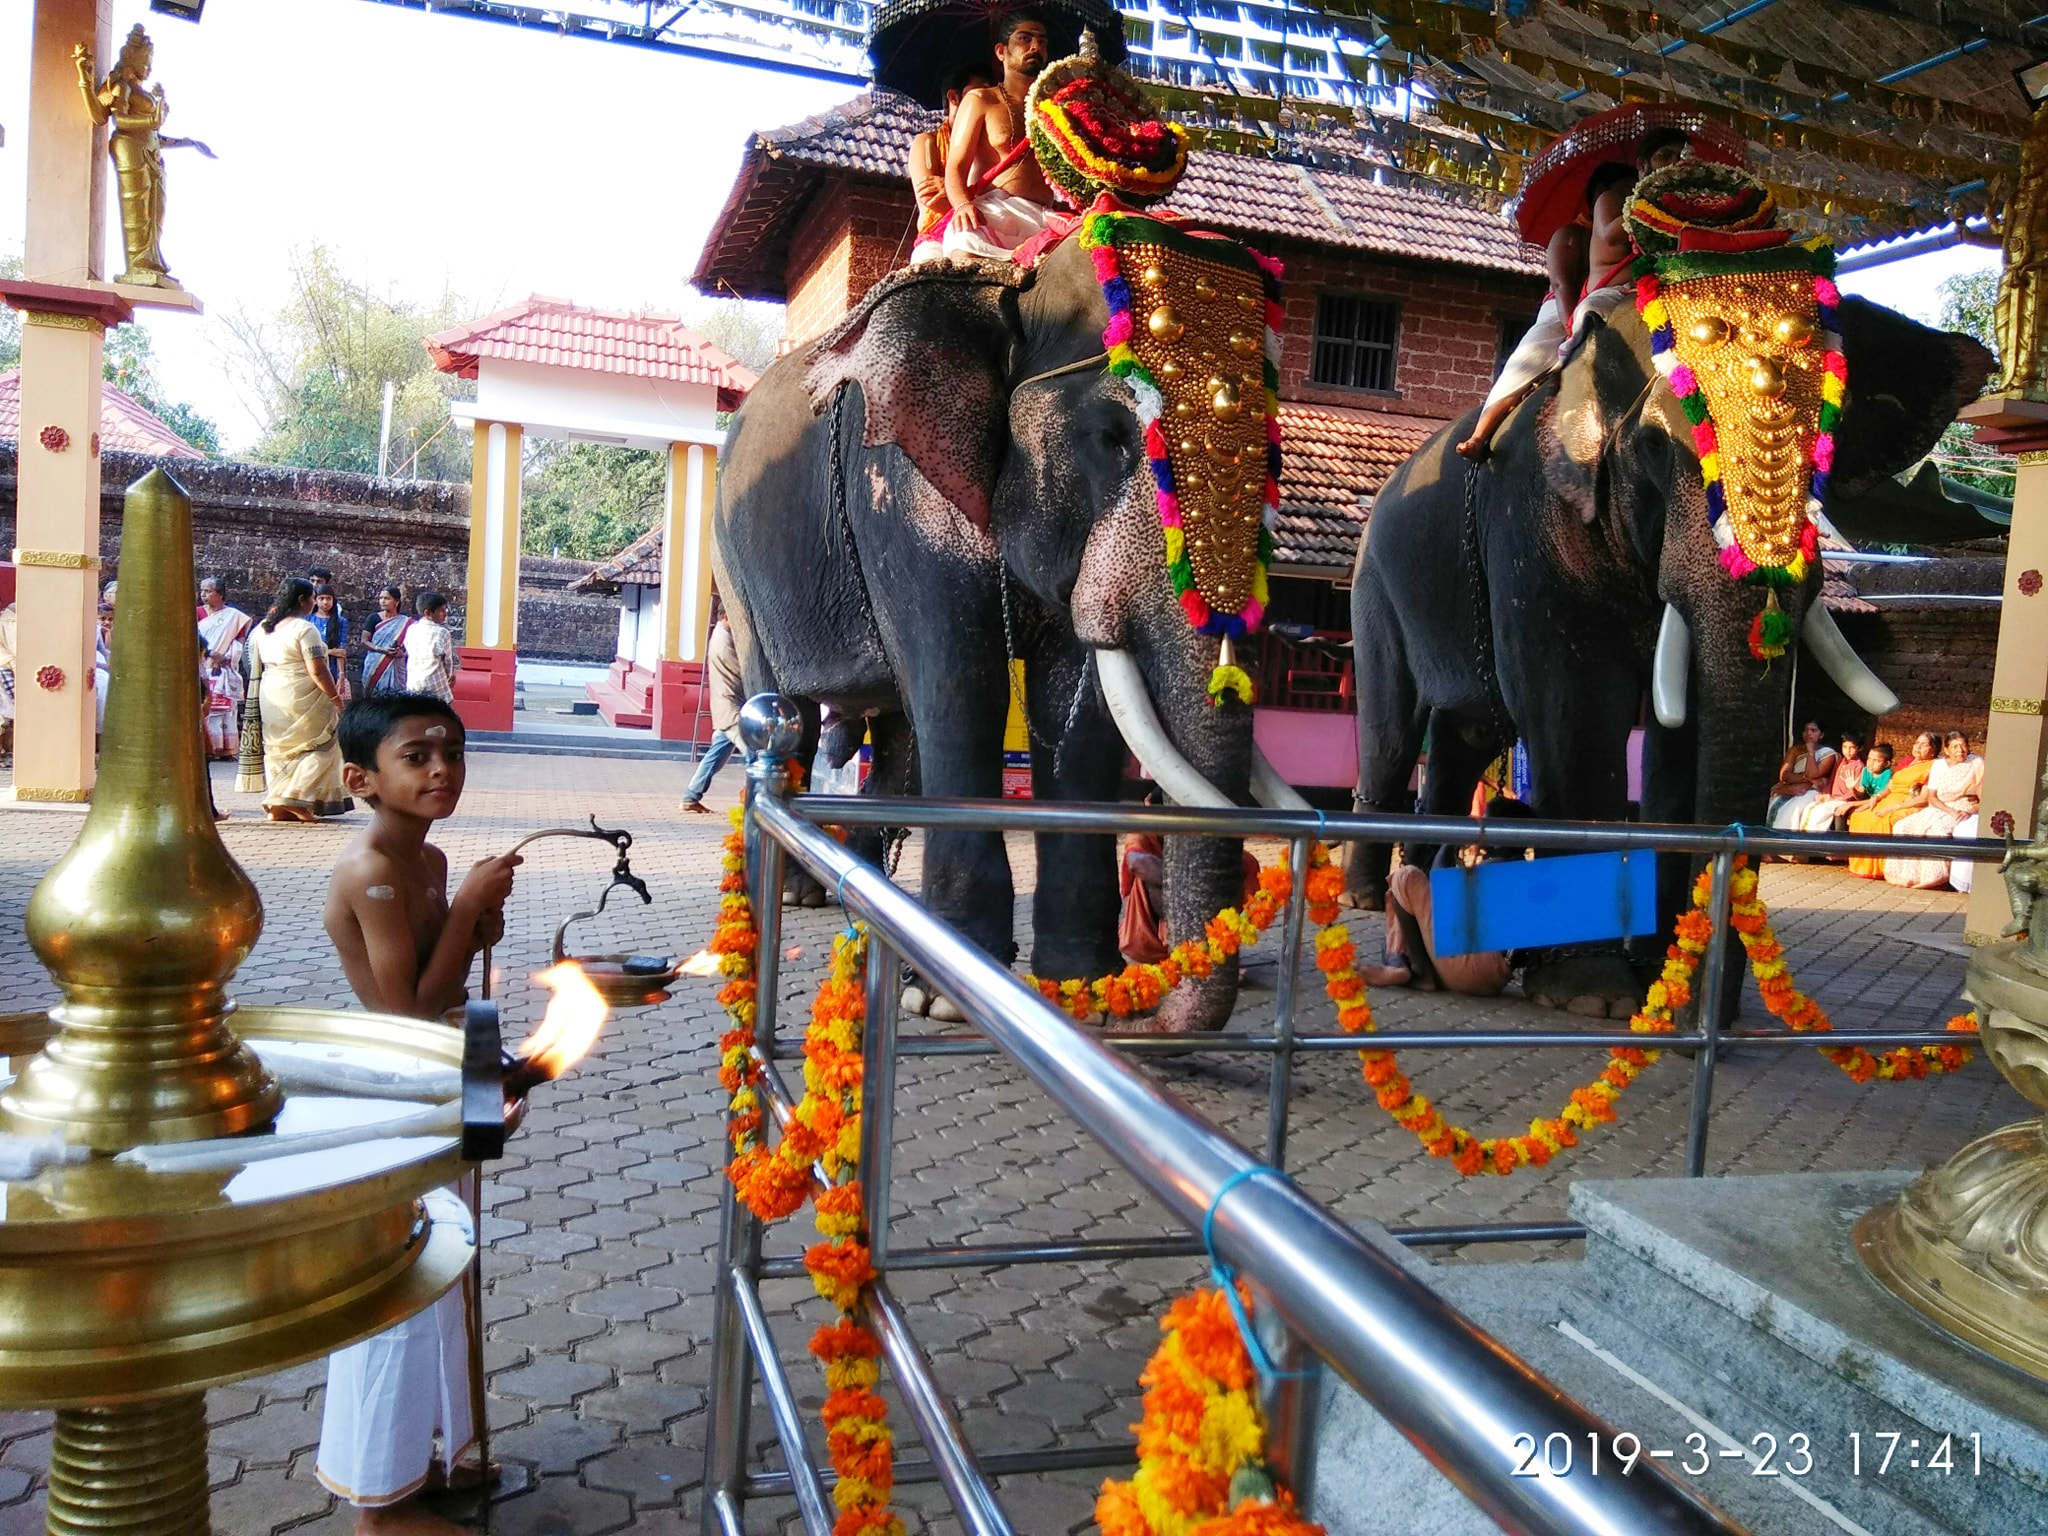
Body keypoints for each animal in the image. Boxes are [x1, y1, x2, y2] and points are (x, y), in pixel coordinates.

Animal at [1351, 167, 1990, 1015]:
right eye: (1656, 449)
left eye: (1827, 454)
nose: (1710, 1008)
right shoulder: (1531, 518)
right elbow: (1574, 707)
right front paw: (1594, 997)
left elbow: (1679, 735)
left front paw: (1654, 977)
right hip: (1375, 584)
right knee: (1394, 731)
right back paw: (1370, 900)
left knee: (1463, 737)